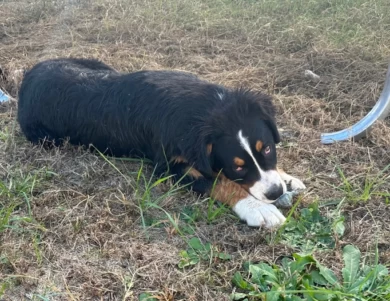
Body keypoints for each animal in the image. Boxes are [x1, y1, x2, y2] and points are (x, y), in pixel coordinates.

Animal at [17, 57, 304, 227]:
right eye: (238, 167)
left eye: (268, 148)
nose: (275, 193)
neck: (204, 109)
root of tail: (28, 76)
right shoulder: (170, 166)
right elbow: (217, 182)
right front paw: (257, 208)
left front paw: (286, 177)